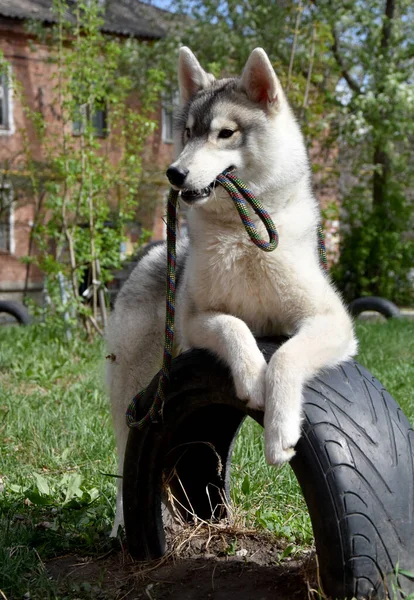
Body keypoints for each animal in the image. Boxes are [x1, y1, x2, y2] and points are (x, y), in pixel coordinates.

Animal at [105, 47, 358, 536]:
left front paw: (279, 433)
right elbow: (235, 327)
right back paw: (124, 523)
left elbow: (286, 357)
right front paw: (251, 376)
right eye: (187, 132)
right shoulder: (194, 319)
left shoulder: (331, 322)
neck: (242, 238)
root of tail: (152, 254)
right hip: (134, 379)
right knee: (127, 452)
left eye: (225, 134)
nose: (175, 172)